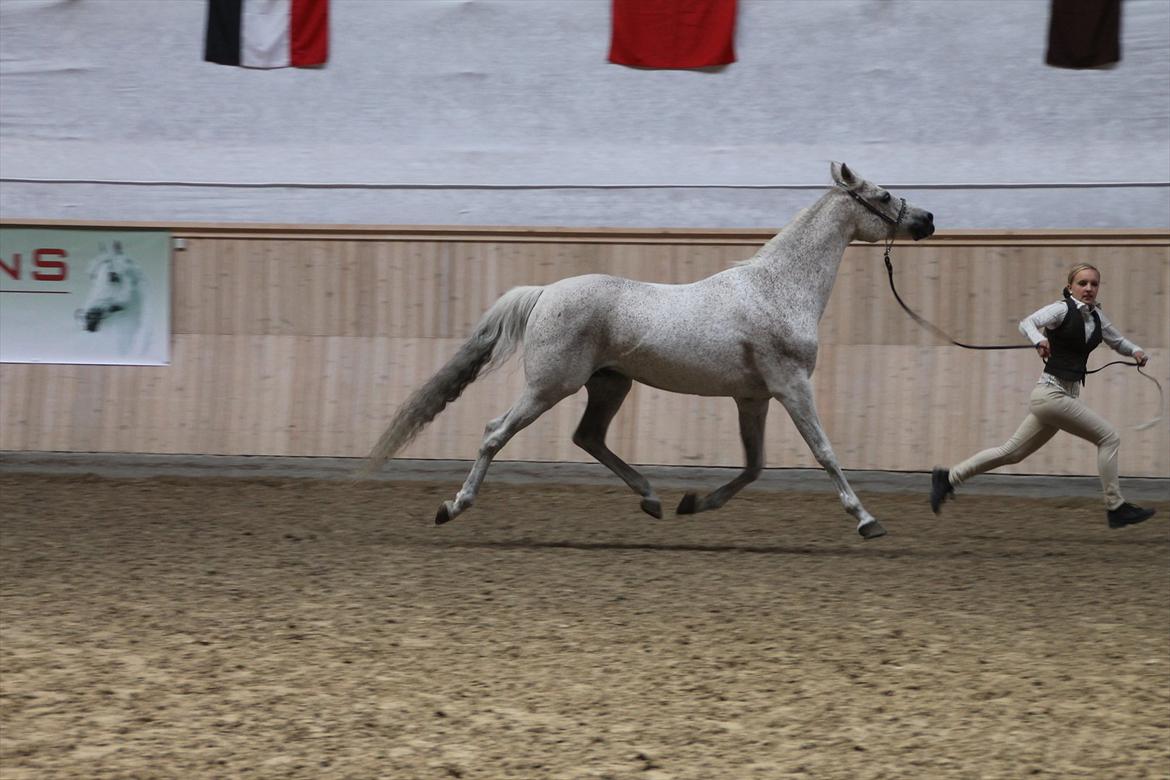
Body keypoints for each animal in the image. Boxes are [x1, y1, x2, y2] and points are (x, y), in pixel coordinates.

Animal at [365, 163, 931, 542]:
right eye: (884, 195)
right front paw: (867, 520)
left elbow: (754, 465)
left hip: (610, 384)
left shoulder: (754, 397)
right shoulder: (792, 385)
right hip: (550, 386)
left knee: (588, 436)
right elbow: (824, 452)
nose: (926, 219)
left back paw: (654, 499)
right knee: (494, 433)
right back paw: (452, 507)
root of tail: (544, 293)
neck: (778, 288)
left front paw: (695, 503)